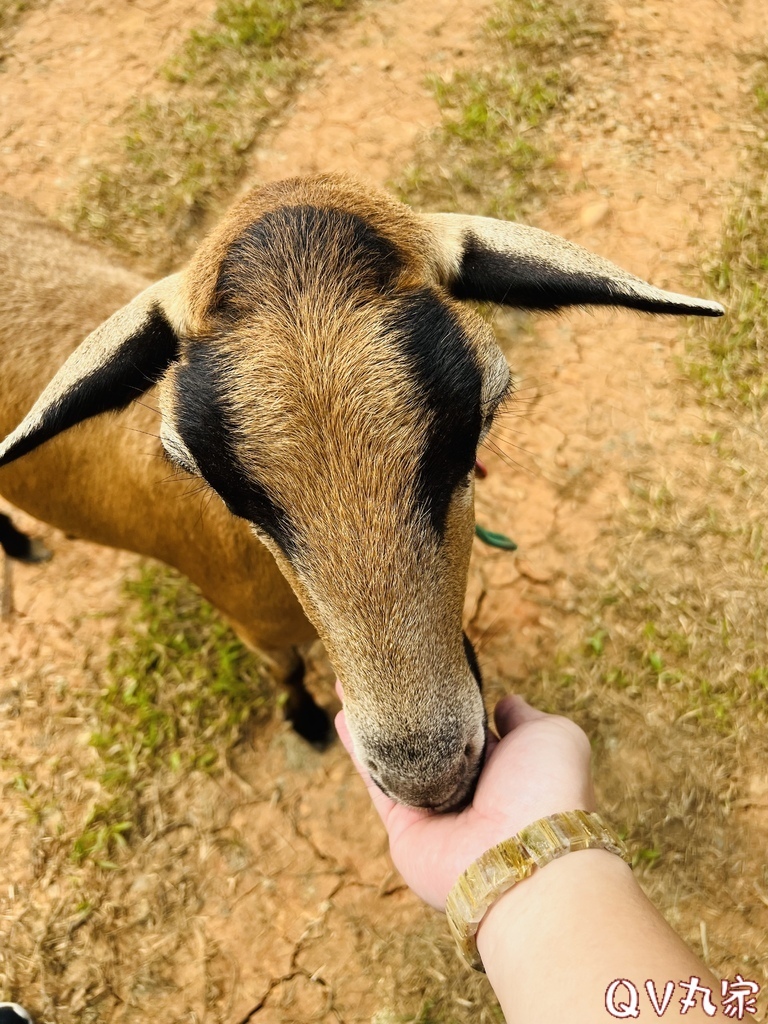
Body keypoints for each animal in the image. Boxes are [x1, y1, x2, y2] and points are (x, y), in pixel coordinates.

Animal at [0, 176, 720, 806]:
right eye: (211, 479)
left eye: (479, 420)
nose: (428, 780)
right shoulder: (253, 629)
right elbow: (288, 673)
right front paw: (308, 723)